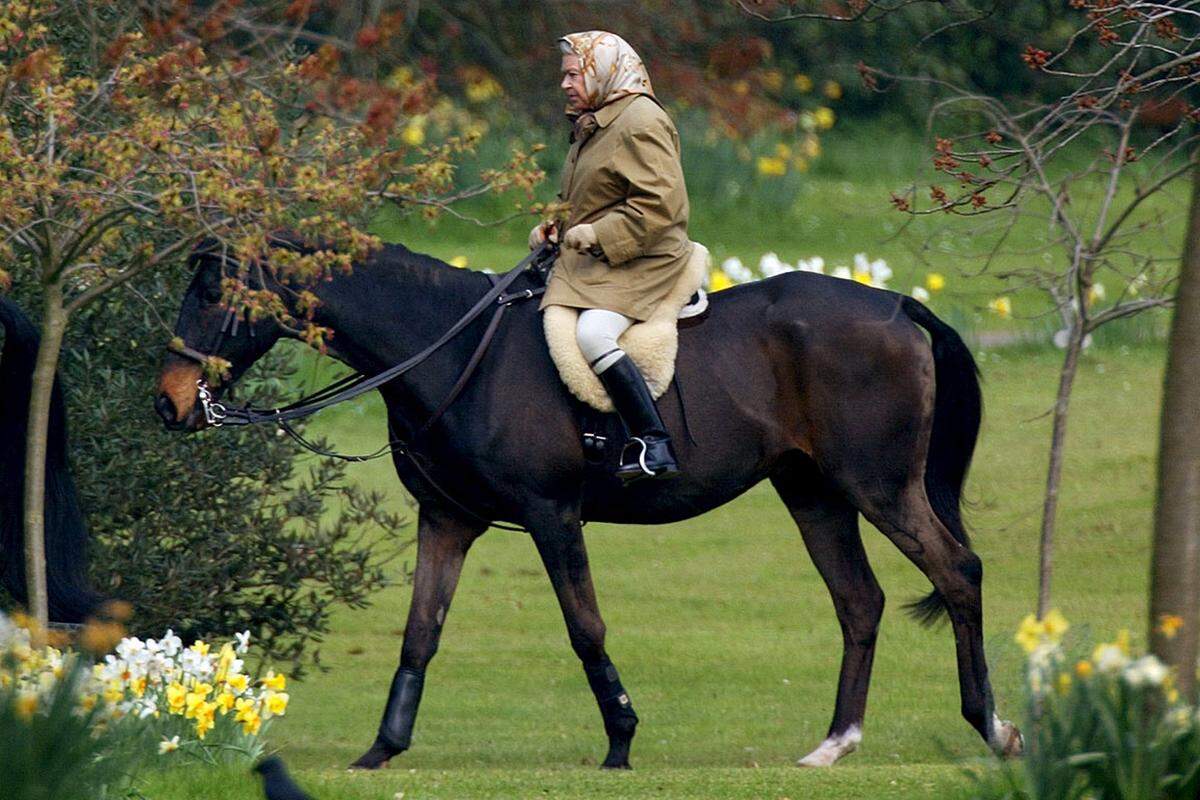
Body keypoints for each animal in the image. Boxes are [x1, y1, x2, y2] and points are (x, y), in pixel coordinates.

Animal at [154, 242, 1022, 767]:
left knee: (959, 573)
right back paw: (835, 744)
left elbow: (585, 628)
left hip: (880, 487)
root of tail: (897, 306)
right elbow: (420, 635)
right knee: (859, 601)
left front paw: (621, 741)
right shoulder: (448, 522)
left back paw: (992, 727)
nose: (168, 404)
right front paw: (382, 750)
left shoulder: (551, 514)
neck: (455, 352)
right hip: (814, 494)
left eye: (213, 291)